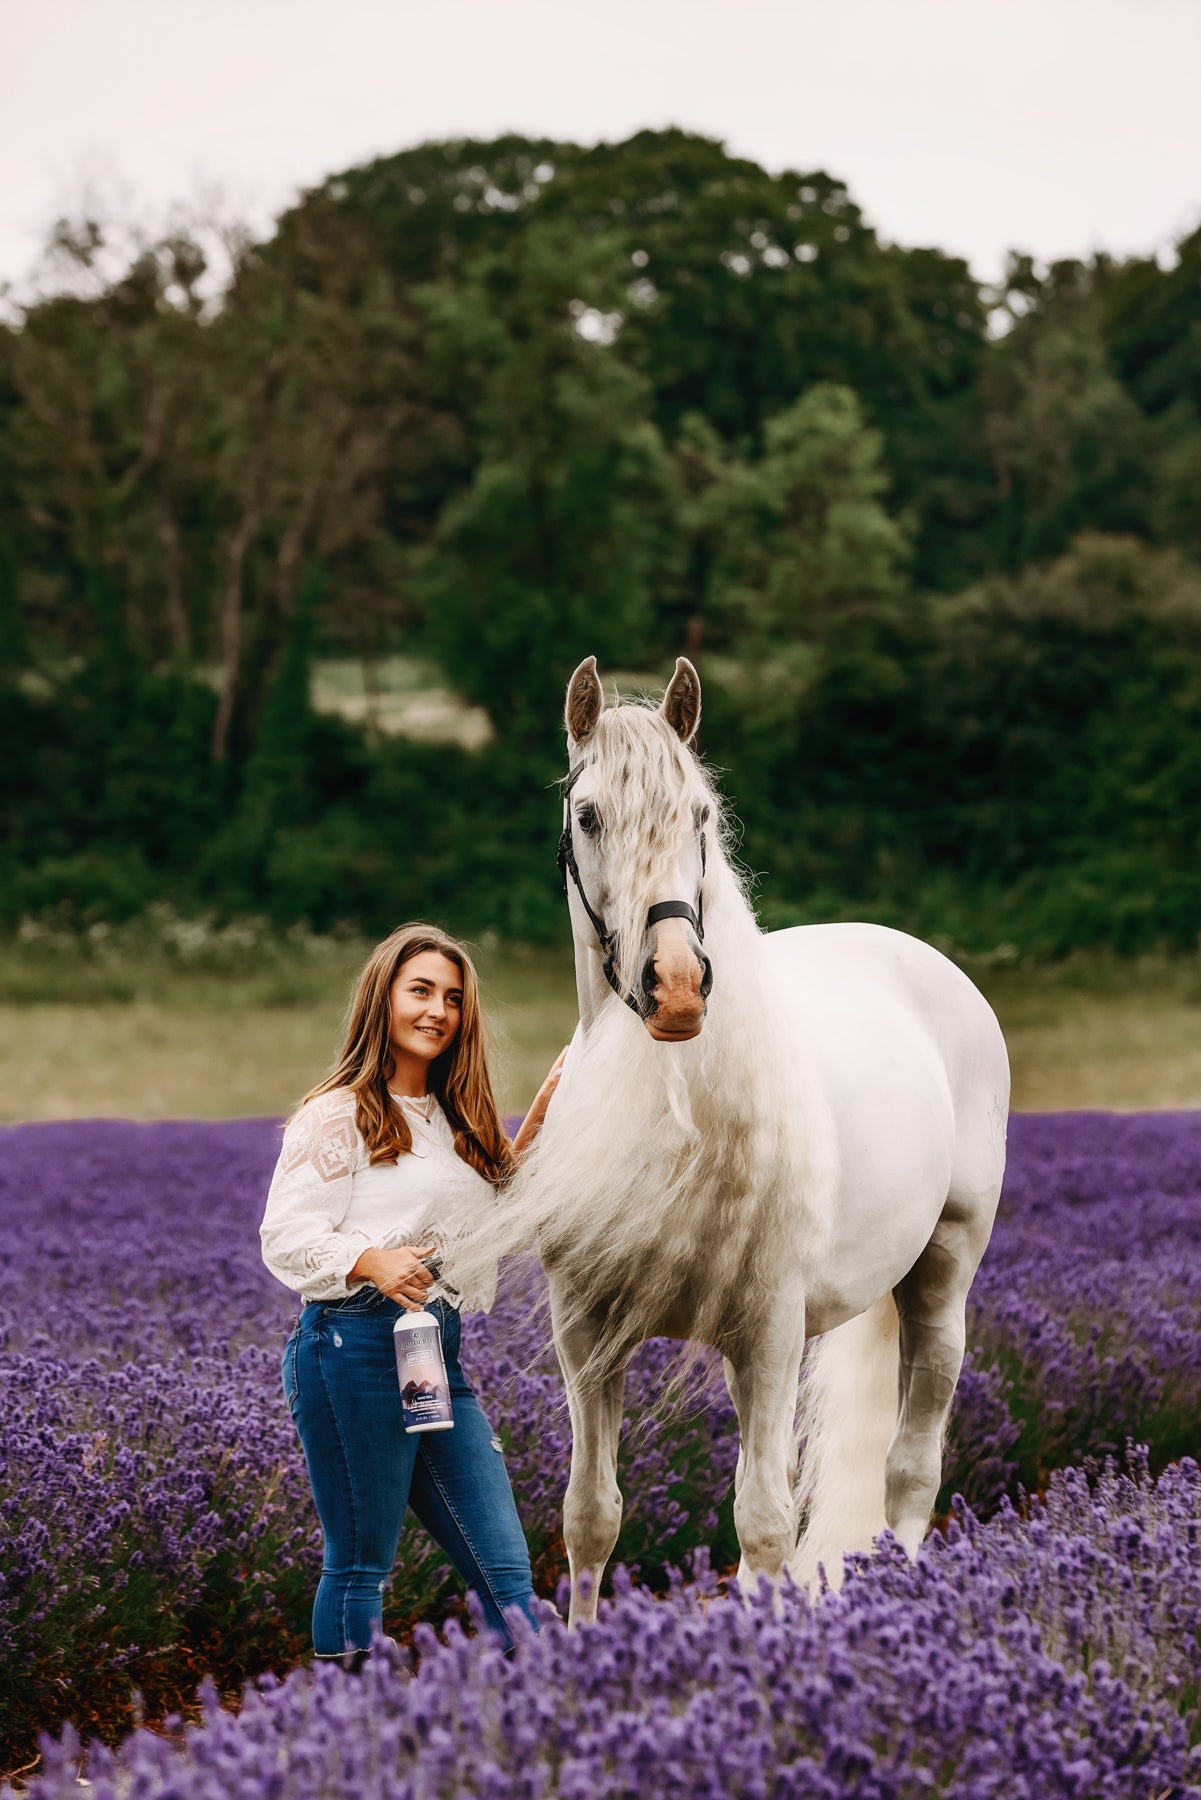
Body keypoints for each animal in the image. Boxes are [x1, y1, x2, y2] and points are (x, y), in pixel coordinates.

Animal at [456, 654, 1009, 1626]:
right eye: (588, 814)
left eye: (700, 815)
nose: (675, 986)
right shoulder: (586, 1334)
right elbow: (590, 1516)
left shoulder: (770, 1333)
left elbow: (765, 1525)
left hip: (941, 1275)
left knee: (908, 1472)